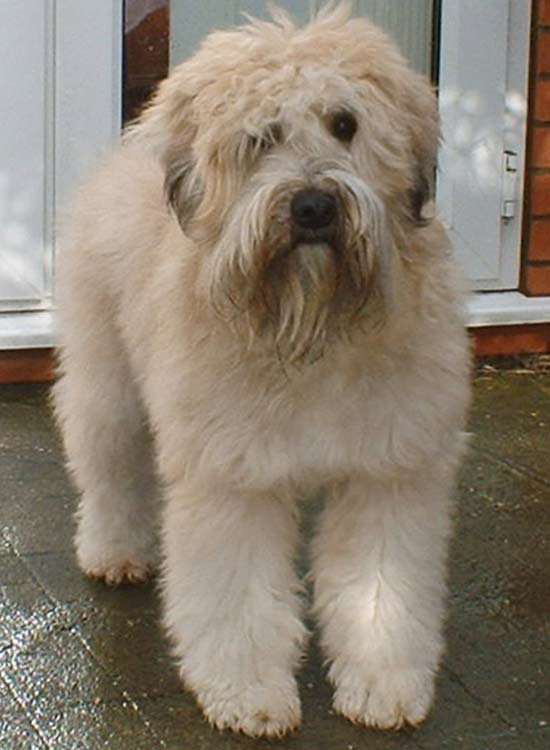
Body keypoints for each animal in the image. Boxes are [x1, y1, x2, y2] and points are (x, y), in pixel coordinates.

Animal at [54, 4, 472, 740]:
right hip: (108, 384)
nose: (313, 207)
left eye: (345, 123)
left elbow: (380, 589)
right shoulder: (232, 476)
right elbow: (237, 595)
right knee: (108, 469)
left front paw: (383, 683)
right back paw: (113, 551)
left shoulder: (390, 470)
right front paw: (248, 692)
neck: (311, 327)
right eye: (259, 138)